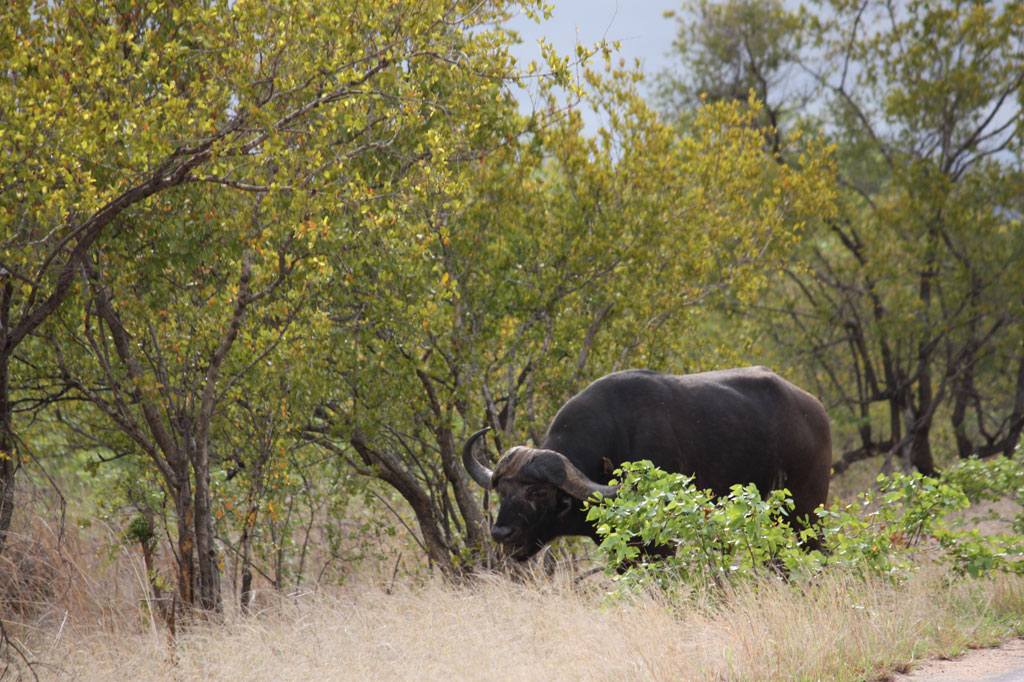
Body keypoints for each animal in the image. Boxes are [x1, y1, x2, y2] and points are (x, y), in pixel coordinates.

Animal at [462, 367, 831, 560]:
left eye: (537, 493)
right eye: (502, 491)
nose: (500, 532)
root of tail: (815, 409)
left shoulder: (660, 544)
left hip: (807, 513)